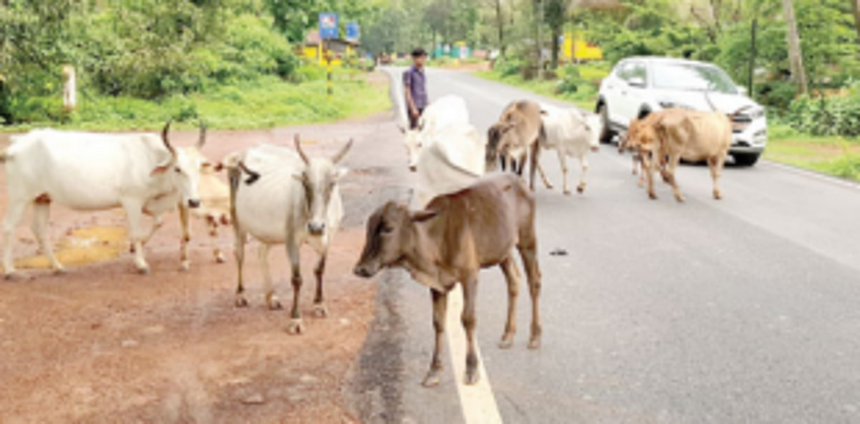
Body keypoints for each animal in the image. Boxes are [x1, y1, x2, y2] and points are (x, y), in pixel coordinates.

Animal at [1, 122, 203, 278]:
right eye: (177, 169)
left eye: (199, 168)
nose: (194, 202)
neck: (149, 158)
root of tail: (17, 143)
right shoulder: (131, 200)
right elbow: (136, 232)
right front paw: (141, 264)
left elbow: (158, 222)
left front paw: (135, 248)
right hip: (20, 197)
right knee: (8, 227)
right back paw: (10, 271)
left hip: (42, 198)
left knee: (40, 230)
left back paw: (58, 267)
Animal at [228, 136, 351, 335]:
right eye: (306, 182)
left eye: (332, 183)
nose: (316, 227)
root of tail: (241, 154)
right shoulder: (291, 240)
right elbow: (297, 279)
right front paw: (296, 319)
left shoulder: (328, 239)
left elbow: (319, 270)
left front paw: (319, 305)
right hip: (237, 220)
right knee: (239, 254)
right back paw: (240, 295)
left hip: (268, 231)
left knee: (262, 254)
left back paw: (271, 297)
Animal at [354, 173, 542, 388]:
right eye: (368, 228)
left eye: (388, 228)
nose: (360, 269)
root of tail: (518, 179)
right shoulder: (438, 286)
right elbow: (438, 322)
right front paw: (433, 370)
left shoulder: (470, 275)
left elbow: (468, 319)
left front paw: (471, 368)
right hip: (503, 251)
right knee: (513, 280)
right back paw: (508, 335)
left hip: (527, 240)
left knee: (534, 281)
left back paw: (535, 336)